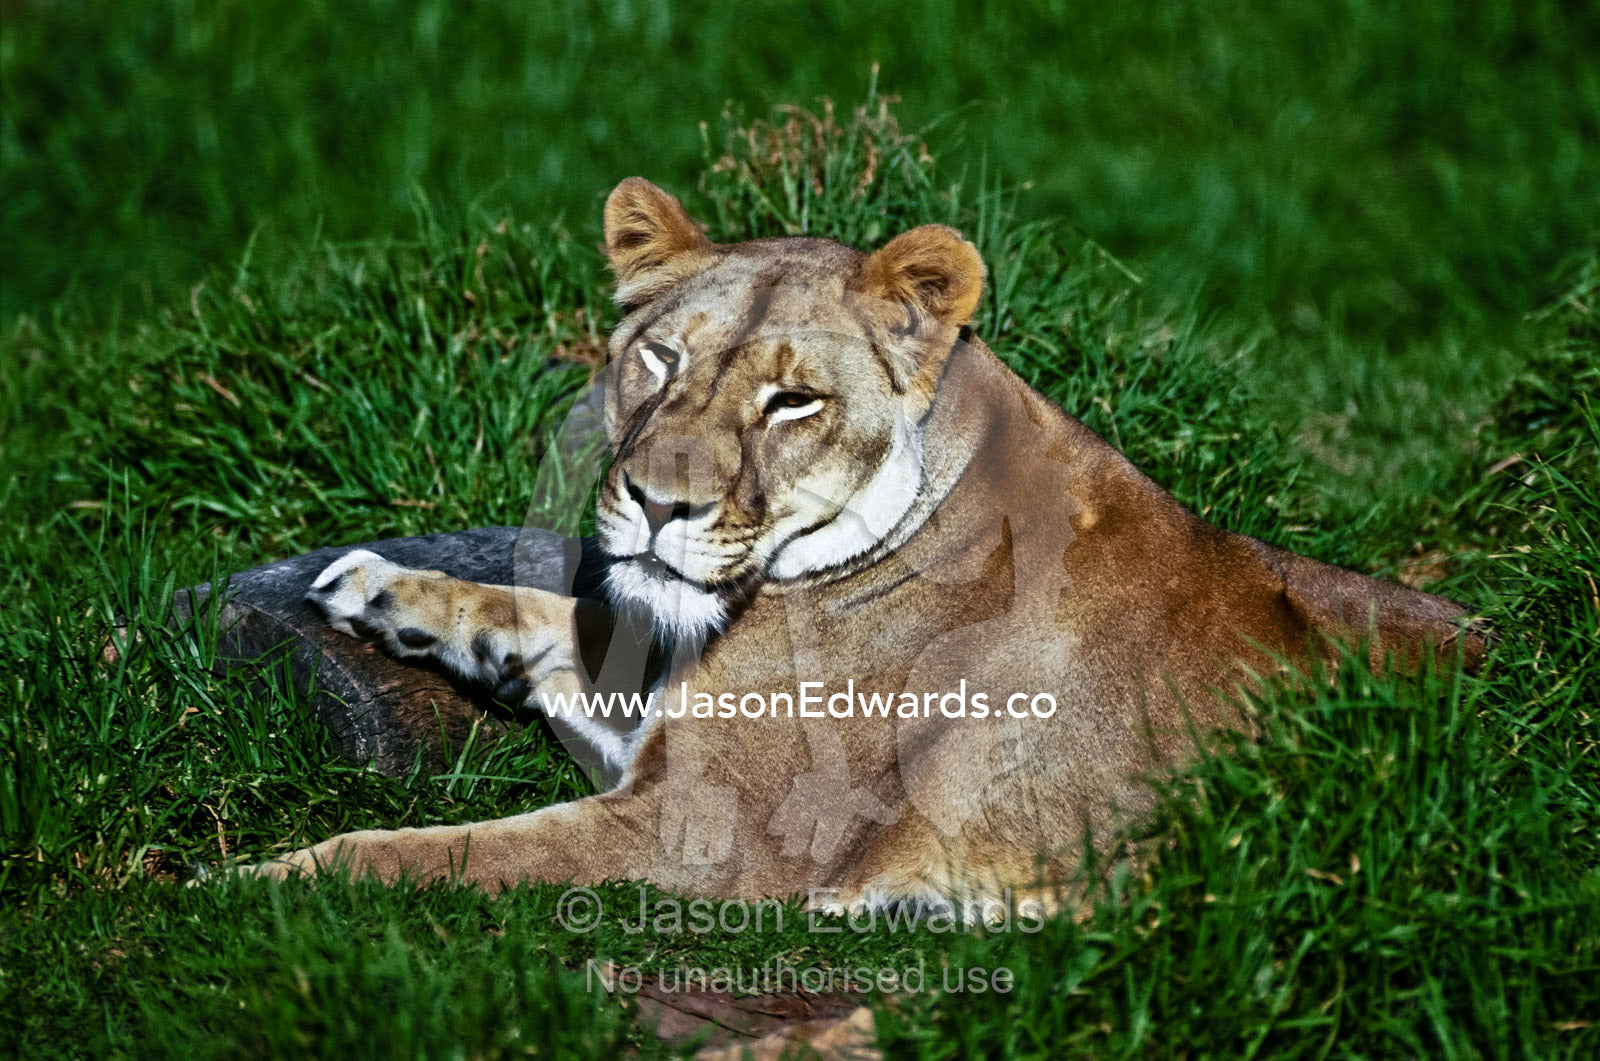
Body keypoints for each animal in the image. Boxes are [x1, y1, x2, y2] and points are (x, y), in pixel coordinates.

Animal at [249, 177, 1487, 913]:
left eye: (793, 400)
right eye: (659, 357)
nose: (656, 503)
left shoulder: (706, 835)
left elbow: (441, 852)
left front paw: (264, 882)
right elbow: (555, 615)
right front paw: (376, 586)